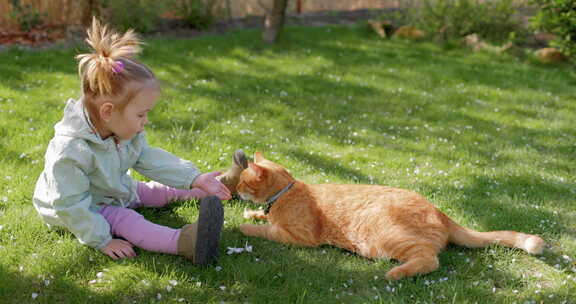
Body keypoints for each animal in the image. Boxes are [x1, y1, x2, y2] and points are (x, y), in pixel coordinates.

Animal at [237, 152, 544, 280]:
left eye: (241, 182)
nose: (236, 190)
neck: (285, 193)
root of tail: (440, 211)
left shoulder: (299, 236)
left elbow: (263, 229)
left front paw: (244, 225)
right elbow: (262, 217)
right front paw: (252, 212)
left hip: (389, 240)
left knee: (429, 260)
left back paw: (395, 274)